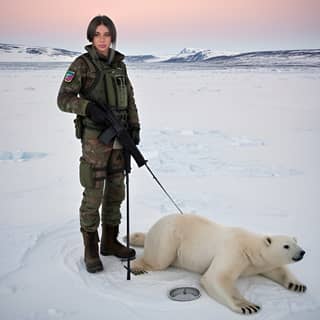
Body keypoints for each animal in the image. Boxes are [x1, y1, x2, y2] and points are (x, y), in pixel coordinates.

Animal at [129, 214, 306, 314]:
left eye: (296, 242)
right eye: (286, 246)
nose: (302, 252)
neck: (251, 247)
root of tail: (153, 228)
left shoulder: (257, 263)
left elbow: (277, 269)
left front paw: (297, 285)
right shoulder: (235, 252)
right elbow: (217, 277)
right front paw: (247, 306)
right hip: (168, 237)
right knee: (159, 260)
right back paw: (137, 267)